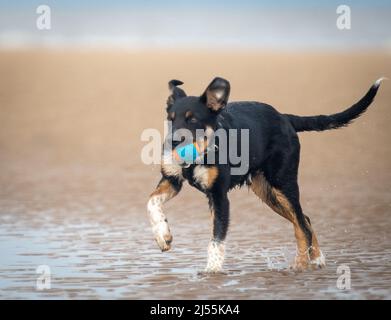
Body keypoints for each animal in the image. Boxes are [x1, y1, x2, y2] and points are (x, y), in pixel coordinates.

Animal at [149, 76, 384, 272]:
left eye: (192, 119)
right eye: (171, 119)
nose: (171, 143)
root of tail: (285, 118)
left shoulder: (219, 196)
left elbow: (216, 239)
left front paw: (211, 272)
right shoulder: (172, 179)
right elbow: (151, 201)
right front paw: (163, 236)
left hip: (283, 184)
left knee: (302, 226)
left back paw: (301, 265)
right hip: (267, 192)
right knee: (305, 220)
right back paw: (317, 260)